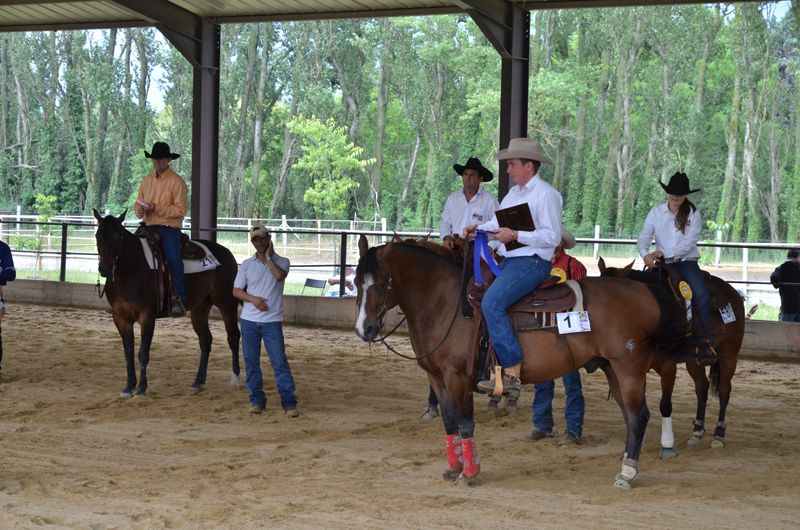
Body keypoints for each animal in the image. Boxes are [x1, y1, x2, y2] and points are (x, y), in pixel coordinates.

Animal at [93, 208, 241, 394]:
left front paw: (141, 388)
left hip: (226, 303)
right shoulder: (120, 318)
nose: (105, 269)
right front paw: (128, 387)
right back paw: (198, 382)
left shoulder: (147, 316)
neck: (131, 270)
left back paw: (235, 379)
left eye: (118, 237)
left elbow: (143, 353)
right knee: (205, 340)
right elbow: (128, 353)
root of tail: (227, 253)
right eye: (98, 235)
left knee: (233, 337)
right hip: (200, 307)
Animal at [354, 235, 692, 486]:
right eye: (357, 282)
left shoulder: (457, 377)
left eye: (381, 284)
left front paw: (470, 472)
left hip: (629, 369)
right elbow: (449, 423)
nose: (364, 329)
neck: (444, 302)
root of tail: (647, 291)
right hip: (613, 369)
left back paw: (627, 473)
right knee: (630, 417)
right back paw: (626, 465)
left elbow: (465, 422)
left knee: (639, 416)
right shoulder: (436, 378)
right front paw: (453, 468)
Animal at [596, 256, 748, 454]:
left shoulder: (668, 366)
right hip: (694, 360)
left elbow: (665, 404)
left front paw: (667, 444)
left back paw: (718, 435)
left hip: (729, 353)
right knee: (702, 388)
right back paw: (697, 432)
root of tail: (733, 292)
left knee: (724, 390)